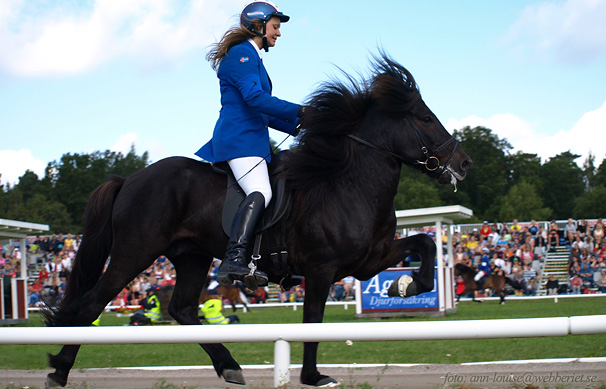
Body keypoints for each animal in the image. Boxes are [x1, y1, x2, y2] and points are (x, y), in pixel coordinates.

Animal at [45, 52, 476, 384]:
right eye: (423, 118)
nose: (464, 164)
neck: (347, 181)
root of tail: (130, 178)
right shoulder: (321, 269)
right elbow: (314, 322)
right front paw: (312, 376)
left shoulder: (370, 259)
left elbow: (425, 243)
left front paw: (406, 285)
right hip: (135, 252)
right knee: (91, 304)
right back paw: (59, 371)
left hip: (191, 256)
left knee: (182, 309)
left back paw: (230, 367)